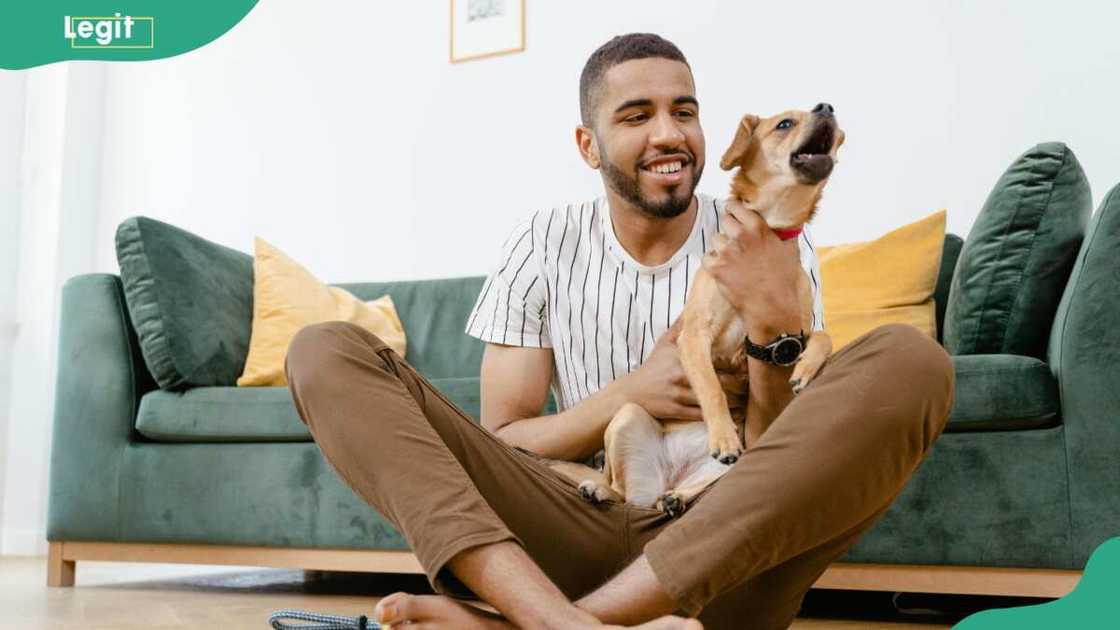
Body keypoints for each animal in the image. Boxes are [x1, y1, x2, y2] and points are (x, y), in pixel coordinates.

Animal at [546, 103, 842, 515]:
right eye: (784, 123)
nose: (827, 106)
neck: (770, 230)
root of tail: (668, 478)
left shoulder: (792, 330)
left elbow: (824, 336)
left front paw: (804, 370)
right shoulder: (695, 336)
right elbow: (711, 387)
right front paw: (723, 436)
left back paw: (676, 498)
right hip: (626, 417)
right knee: (622, 493)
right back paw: (602, 490)